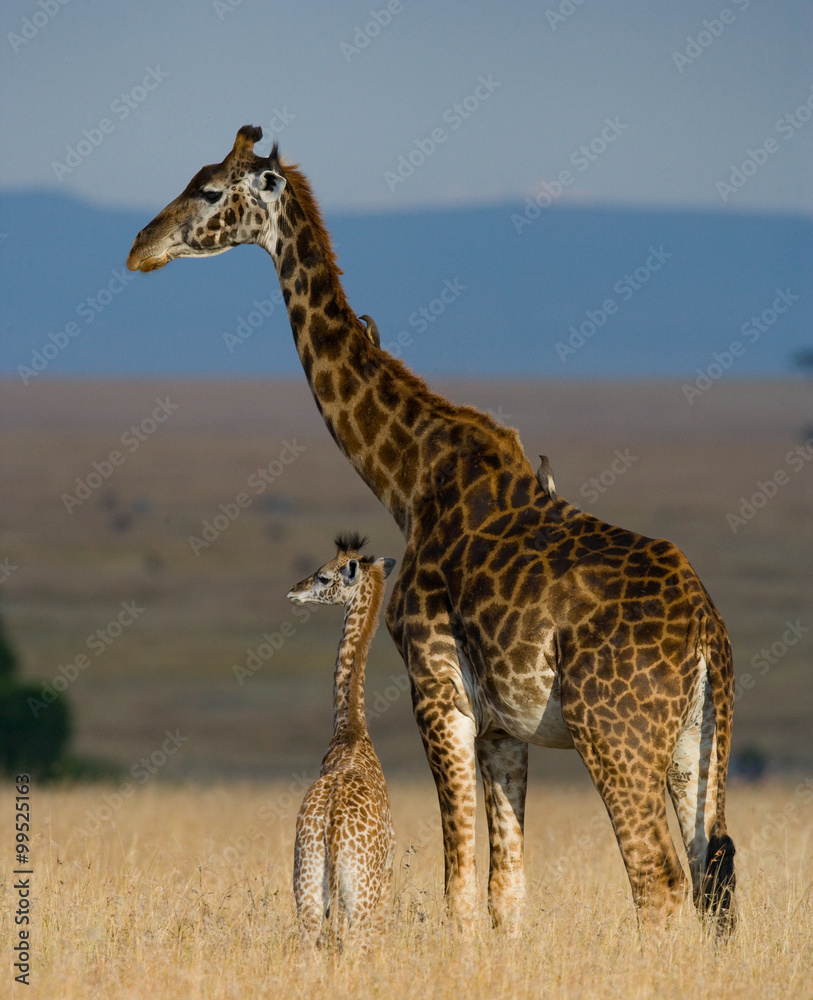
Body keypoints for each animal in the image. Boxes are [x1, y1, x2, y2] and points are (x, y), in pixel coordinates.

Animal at [287, 533, 396, 951]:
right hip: (359, 898)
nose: (293, 591)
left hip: (309, 887)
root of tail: (331, 825)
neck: (350, 733)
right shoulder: (385, 885)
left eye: (322, 576)